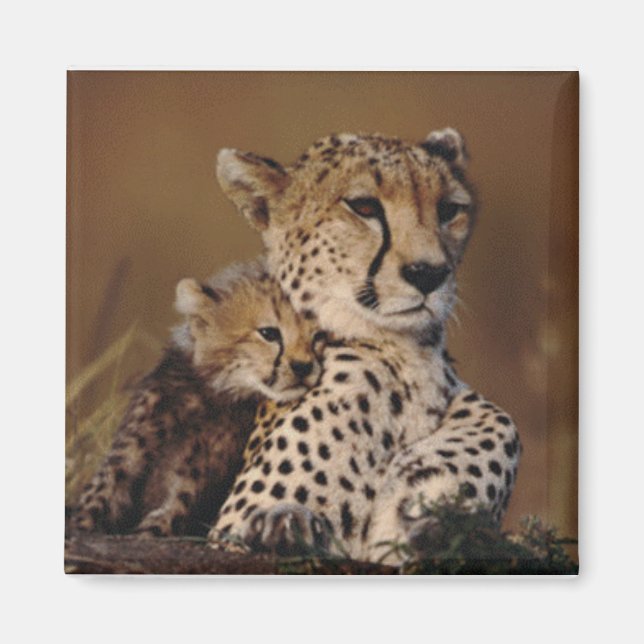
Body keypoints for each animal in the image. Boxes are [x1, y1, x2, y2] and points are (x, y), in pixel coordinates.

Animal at [70, 259, 327, 538]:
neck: (214, 394)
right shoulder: (127, 457)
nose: (303, 367)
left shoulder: (194, 485)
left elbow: (163, 520)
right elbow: (95, 500)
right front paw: (80, 526)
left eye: (319, 336)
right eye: (269, 333)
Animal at [207, 128, 521, 564]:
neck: (406, 358)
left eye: (449, 210)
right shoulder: (228, 533)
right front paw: (284, 526)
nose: (428, 274)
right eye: (364, 206)